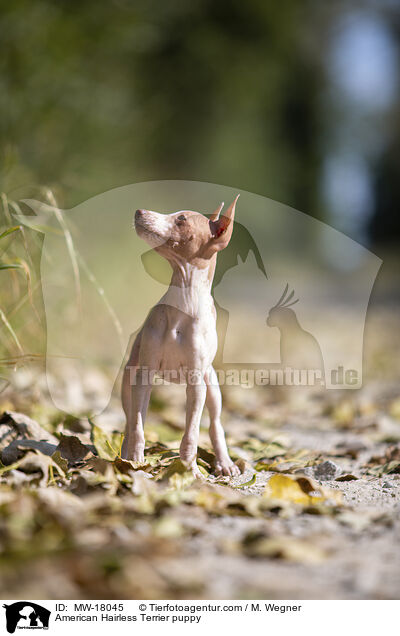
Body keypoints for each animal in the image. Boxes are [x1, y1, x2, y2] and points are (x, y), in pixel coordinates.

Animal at [120, 196, 241, 480]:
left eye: (182, 219)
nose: (139, 211)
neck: (183, 303)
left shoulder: (196, 384)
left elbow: (191, 433)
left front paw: (189, 469)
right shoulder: (144, 374)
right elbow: (138, 425)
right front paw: (136, 461)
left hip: (212, 386)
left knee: (215, 424)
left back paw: (224, 462)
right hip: (128, 380)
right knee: (130, 420)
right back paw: (125, 453)